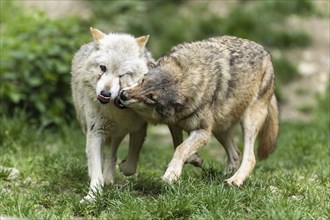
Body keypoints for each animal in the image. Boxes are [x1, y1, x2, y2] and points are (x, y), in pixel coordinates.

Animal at [117, 35, 280, 186]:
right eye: (142, 81)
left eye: (151, 98)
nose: (122, 95)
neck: (190, 76)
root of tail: (266, 52)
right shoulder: (175, 124)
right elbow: (179, 145)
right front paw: (194, 159)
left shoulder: (203, 132)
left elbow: (181, 148)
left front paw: (171, 174)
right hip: (219, 128)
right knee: (235, 154)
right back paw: (224, 175)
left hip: (247, 123)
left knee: (250, 157)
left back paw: (234, 180)